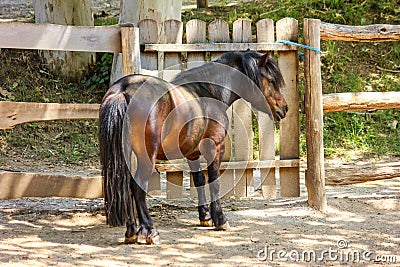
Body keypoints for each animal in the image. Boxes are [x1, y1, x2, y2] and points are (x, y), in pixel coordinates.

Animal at [99, 50, 288, 245]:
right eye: (271, 80)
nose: (285, 107)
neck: (209, 92)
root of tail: (124, 90)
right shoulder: (215, 148)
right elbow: (214, 181)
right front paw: (220, 219)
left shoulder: (191, 153)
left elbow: (199, 180)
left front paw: (205, 217)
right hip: (146, 157)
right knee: (137, 187)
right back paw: (150, 230)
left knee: (125, 186)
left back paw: (131, 231)